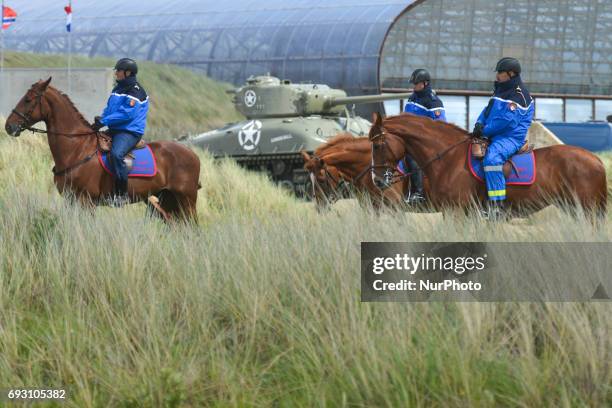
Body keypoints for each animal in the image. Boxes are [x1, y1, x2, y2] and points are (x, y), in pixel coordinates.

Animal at [4, 77, 201, 222]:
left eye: (28, 99)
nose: (9, 126)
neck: (78, 148)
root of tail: (192, 154)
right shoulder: (71, 201)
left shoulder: (86, 202)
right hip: (168, 200)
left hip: (187, 200)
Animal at [368, 111, 608, 218]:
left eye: (377, 145)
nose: (377, 180)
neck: (449, 158)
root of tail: (596, 160)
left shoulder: (457, 213)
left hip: (587, 211)